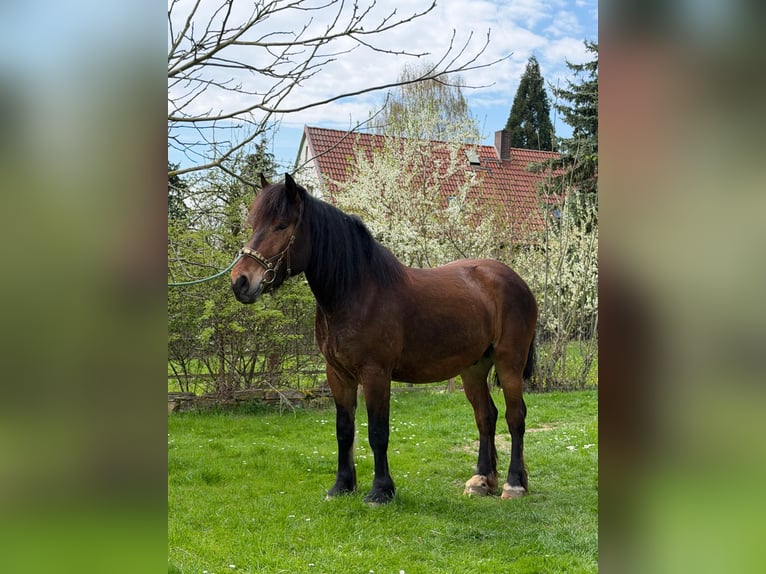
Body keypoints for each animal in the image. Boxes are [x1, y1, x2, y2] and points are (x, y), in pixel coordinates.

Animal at [231, 173, 537, 504]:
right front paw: (342, 486)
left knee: (515, 416)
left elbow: (378, 432)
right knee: (486, 416)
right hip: (474, 368)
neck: (357, 291)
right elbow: (344, 430)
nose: (240, 281)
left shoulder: (375, 373)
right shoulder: (338, 374)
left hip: (509, 363)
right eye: (253, 224)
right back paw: (482, 481)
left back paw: (514, 484)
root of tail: (515, 280)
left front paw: (380, 491)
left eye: (281, 225)